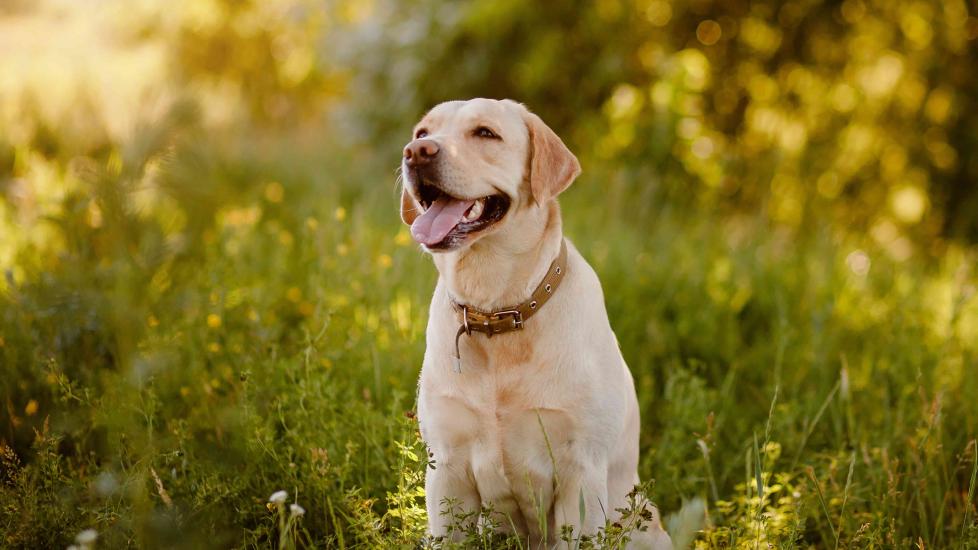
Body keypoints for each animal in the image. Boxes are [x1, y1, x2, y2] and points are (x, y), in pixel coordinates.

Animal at [396, 99, 672, 550]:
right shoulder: (446, 470)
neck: (496, 312)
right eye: (422, 133)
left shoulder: (582, 473)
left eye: (485, 133)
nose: (416, 153)